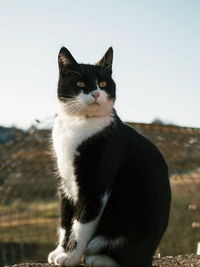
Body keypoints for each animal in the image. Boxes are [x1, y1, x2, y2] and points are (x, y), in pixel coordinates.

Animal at [48, 47, 170, 266]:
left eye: (103, 84)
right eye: (80, 84)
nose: (96, 93)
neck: (78, 123)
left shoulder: (94, 185)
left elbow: (80, 223)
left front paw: (69, 256)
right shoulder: (65, 182)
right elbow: (65, 219)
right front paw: (60, 250)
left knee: (129, 259)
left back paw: (97, 259)